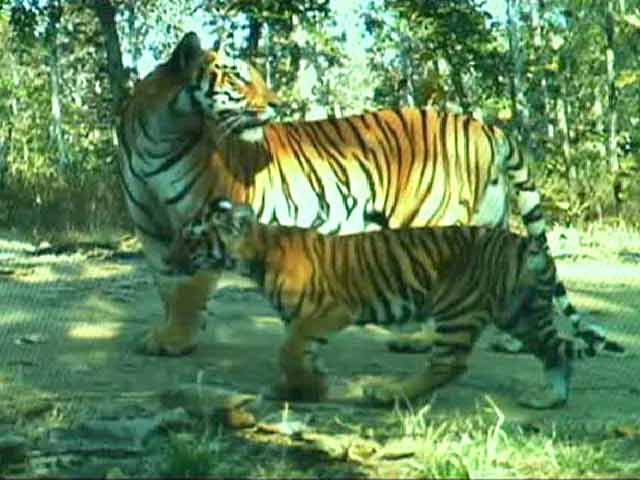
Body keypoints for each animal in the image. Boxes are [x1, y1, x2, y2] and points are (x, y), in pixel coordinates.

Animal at [117, 31, 620, 357]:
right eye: (240, 78)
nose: (277, 103)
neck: (157, 134)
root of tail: (484, 125)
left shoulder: (205, 215)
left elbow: (188, 287)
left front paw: (175, 341)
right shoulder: (151, 231)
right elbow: (167, 283)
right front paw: (170, 333)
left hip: (434, 217)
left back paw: (418, 341)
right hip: (487, 215)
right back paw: (513, 339)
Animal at [164, 197, 611, 409]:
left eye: (191, 238)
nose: (167, 260)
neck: (255, 252)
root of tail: (524, 242)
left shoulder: (327, 311)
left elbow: (289, 351)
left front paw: (304, 386)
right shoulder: (304, 320)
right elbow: (299, 353)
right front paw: (304, 386)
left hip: (457, 308)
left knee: (449, 364)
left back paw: (388, 395)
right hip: (521, 313)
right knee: (557, 352)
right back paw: (548, 399)